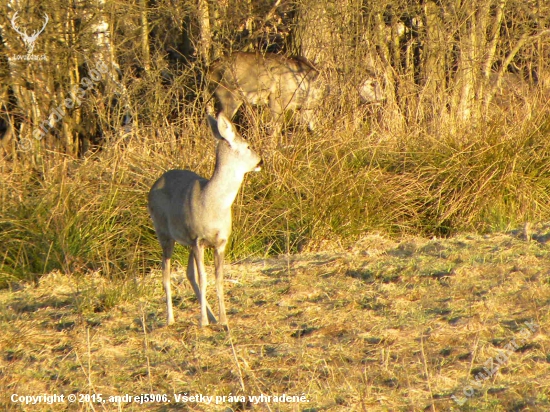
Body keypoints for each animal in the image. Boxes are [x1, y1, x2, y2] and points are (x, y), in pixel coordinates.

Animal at [149, 112, 264, 326]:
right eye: (248, 146)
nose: (261, 161)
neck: (213, 204)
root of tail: (154, 185)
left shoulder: (220, 242)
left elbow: (218, 278)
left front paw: (223, 319)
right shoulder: (198, 239)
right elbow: (204, 278)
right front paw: (203, 322)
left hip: (186, 242)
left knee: (189, 273)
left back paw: (210, 315)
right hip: (164, 233)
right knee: (166, 273)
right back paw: (171, 319)